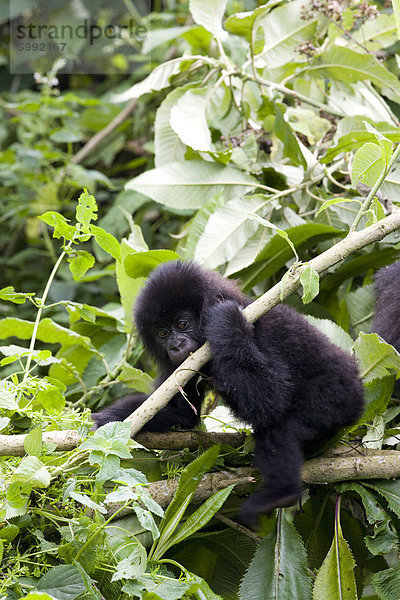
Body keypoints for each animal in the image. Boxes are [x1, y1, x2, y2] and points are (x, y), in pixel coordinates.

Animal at [92, 262, 364, 524]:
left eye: (182, 324)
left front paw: (226, 319)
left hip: (335, 397)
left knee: (279, 424)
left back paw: (281, 493)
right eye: (161, 332)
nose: (175, 345)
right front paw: (107, 420)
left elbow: (273, 398)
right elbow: (181, 415)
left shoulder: (262, 331)